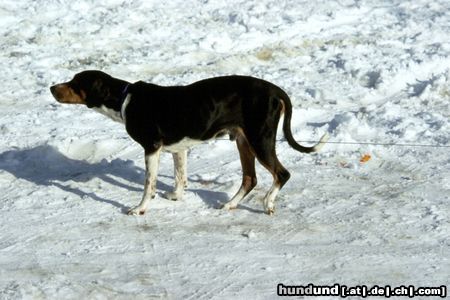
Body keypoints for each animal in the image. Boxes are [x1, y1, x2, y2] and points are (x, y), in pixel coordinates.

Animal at [51, 70, 328, 216]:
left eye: (75, 83)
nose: (52, 87)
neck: (124, 99)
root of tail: (275, 90)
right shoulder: (178, 148)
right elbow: (180, 176)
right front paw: (176, 196)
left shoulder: (151, 148)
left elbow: (148, 185)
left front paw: (139, 209)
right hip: (243, 141)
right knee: (250, 179)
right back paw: (230, 204)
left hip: (260, 140)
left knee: (281, 173)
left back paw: (268, 203)